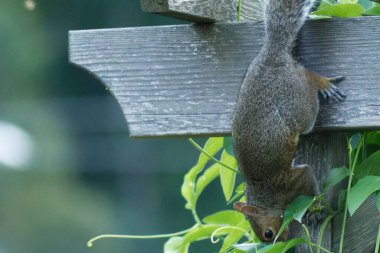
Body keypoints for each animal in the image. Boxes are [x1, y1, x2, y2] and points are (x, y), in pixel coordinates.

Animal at [230, 0, 346, 243]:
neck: (265, 195)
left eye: (268, 233)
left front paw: (315, 209)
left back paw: (320, 82)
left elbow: (310, 182)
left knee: (306, 76)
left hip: (300, 104)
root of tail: (272, 55)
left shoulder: (292, 182)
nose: (283, 243)